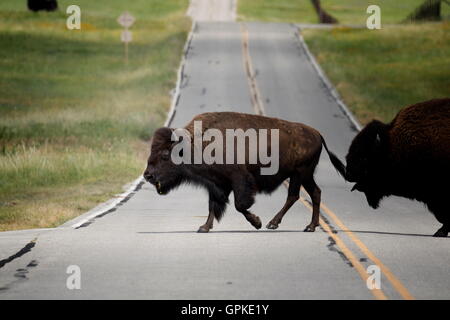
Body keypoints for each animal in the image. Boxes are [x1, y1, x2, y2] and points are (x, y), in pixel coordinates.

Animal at [144, 112, 344, 232]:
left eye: (164, 155)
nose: (147, 175)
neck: (195, 143)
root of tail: (317, 133)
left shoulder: (239, 180)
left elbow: (239, 205)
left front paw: (257, 222)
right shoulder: (216, 184)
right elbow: (213, 206)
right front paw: (204, 227)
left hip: (299, 173)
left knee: (294, 195)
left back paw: (273, 223)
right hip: (305, 175)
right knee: (315, 192)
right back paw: (310, 226)